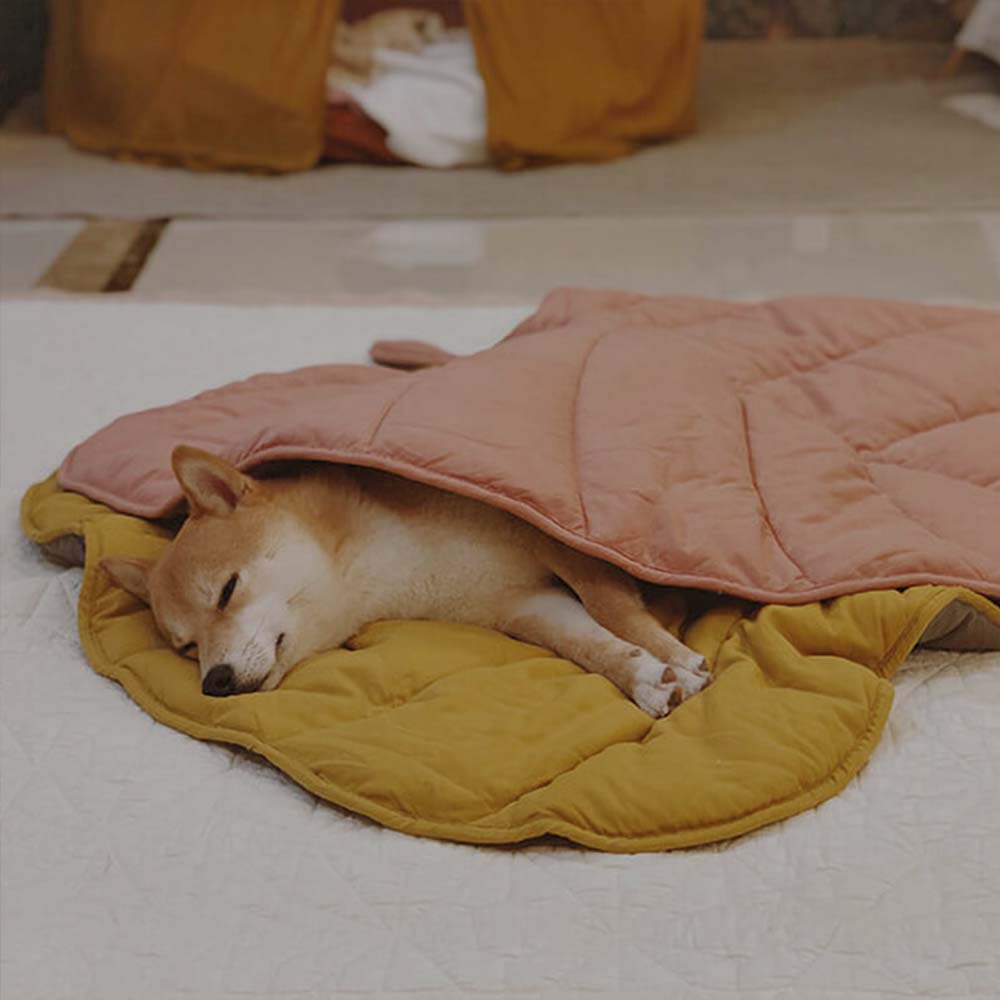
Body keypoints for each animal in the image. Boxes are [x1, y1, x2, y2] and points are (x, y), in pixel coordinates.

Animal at [101, 446, 711, 718]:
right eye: (186, 647)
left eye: (227, 591)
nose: (216, 682)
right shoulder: (525, 605)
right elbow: (591, 644)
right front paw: (647, 677)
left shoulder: (554, 535)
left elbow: (614, 610)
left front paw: (674, 654)